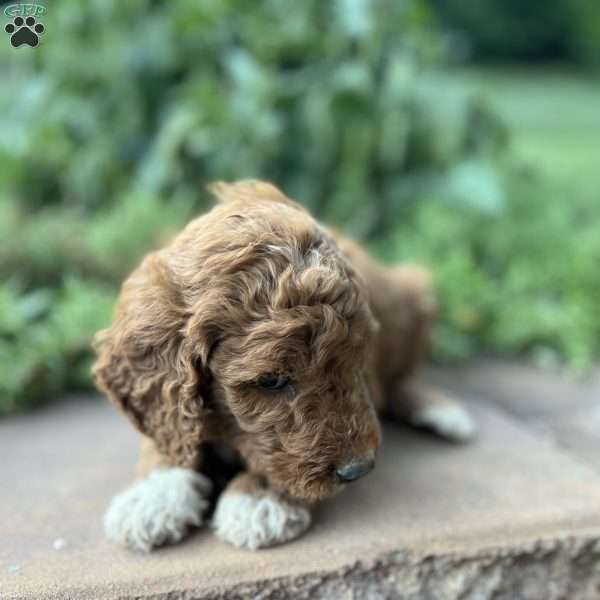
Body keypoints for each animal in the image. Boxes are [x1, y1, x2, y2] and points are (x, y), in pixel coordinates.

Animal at [92, 180, 474, 552]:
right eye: (271, 381)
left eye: (357, 359)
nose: (359, 470)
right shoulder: (166, 401)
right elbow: (168, 436)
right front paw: (150, 496)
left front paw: (260, 499)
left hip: (405, 299)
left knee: (402, 374)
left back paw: (440, 410)